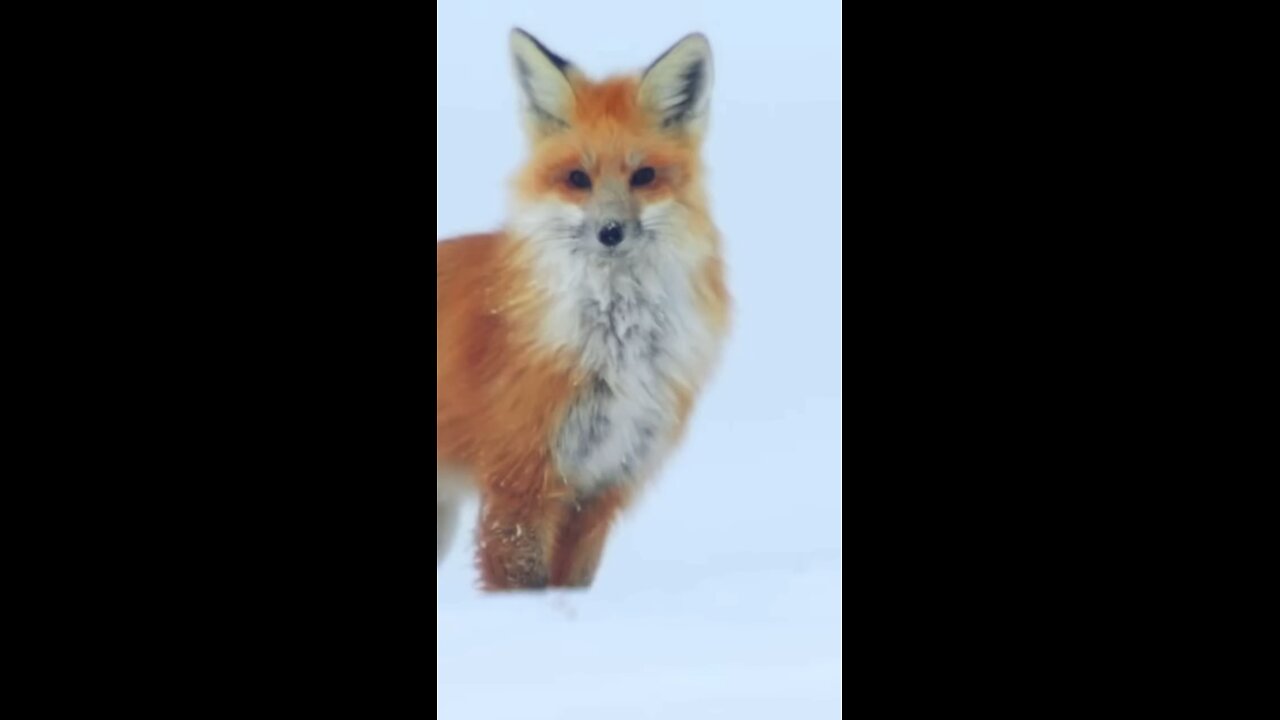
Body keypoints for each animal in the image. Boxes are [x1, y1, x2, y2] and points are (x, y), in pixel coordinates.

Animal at [437, 29, 732, 589]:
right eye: (578, 178)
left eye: (644, 176)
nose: (610, 232)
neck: (615, 345)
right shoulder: (521, 482)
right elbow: (521, 585)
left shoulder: (602, 485)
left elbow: (570, 583)